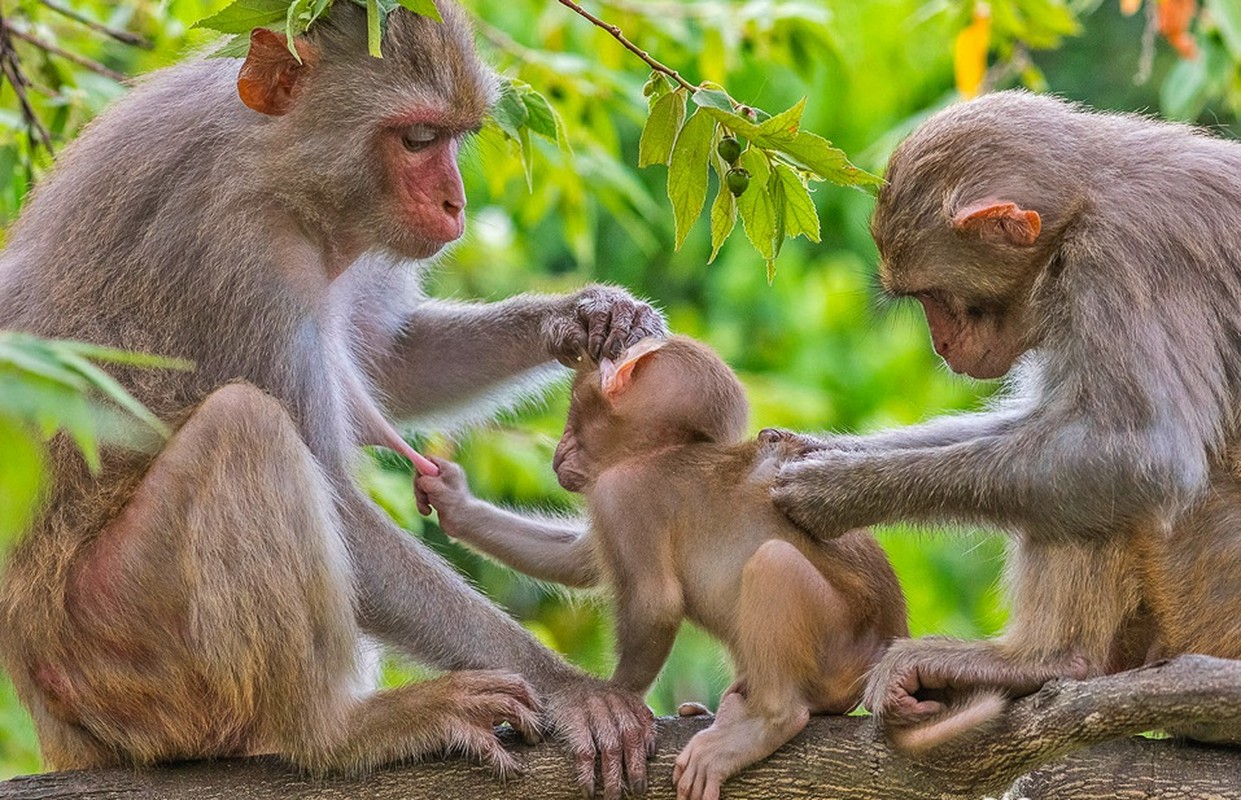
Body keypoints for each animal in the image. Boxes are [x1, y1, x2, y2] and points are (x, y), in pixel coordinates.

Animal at [0, 1, 665, 793]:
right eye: (417, 139)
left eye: (455, 137)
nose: (455, 205)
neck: (281, 170)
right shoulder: (238, 258)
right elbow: (341, 508)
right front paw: (574, 691)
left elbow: (389, 361)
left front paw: (583, 317)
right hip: (119, 657)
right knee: (246, 426)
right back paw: (336, 730)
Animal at [412, 334, 908, 798]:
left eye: (574, 405)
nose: (560, 449)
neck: (655, 451)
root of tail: (888, 642)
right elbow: (582, 561)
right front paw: (455, 502)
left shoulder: (622, 492)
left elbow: (655, 604)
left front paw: (607, 708)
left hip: (838, 647)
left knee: (774, 563)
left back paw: (764, 721)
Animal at [764, 90, 1241, 754]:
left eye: (936, 296)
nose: (941, 346)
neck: (1084, 203)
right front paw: (821, 451)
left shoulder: (1124, 259)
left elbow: (1144, 454)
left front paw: (838, 492)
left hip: (1211, 603)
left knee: (1113, 482)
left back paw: (1046, 661)